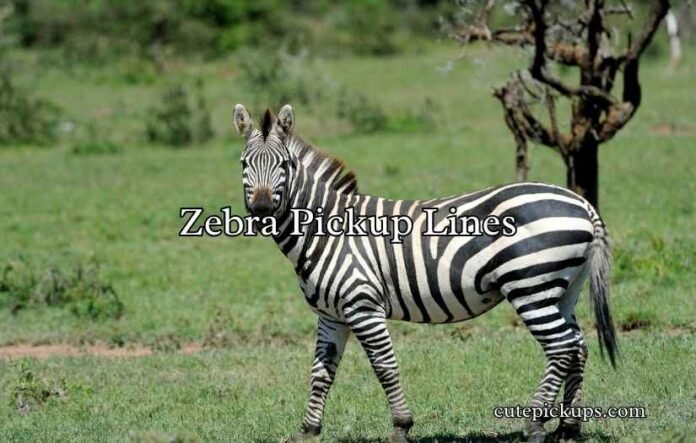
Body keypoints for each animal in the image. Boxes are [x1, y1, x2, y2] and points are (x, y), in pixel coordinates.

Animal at [232, 104, 618, 443]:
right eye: (244, 164)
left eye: (284, 164)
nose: (262, 209)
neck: (327, 230)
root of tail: (581, 202)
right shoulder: (332, 314)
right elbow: (321, 372)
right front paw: (309, 430)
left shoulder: (362, 306)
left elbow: (384, 365)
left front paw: (401, 427)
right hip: (563, 289)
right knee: (578, 346)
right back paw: (568, 428)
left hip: (530, 286)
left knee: (561, 347)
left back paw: (535, 424)